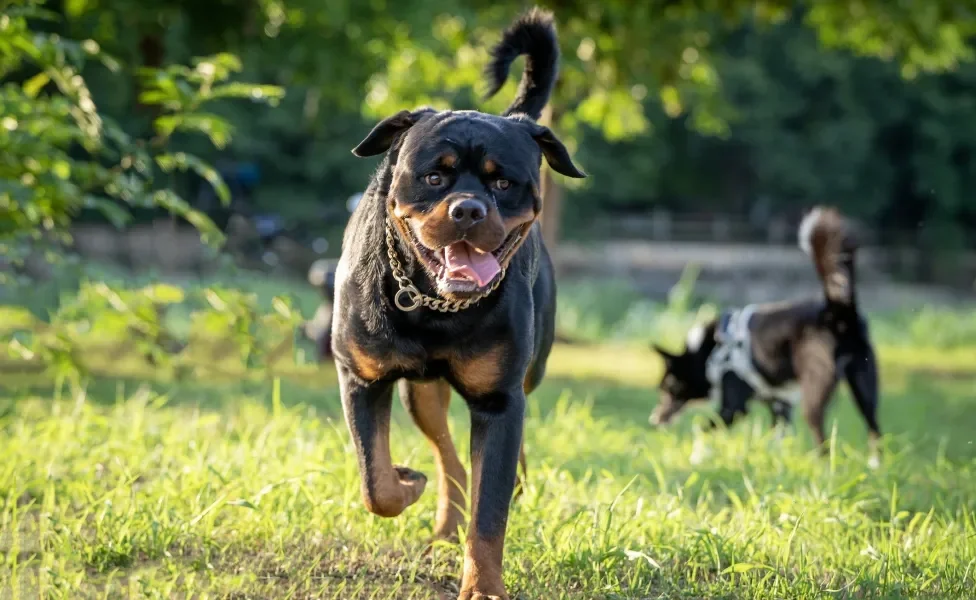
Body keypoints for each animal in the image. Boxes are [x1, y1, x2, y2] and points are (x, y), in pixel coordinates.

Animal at [332, 9, 584, 600]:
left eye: (503, 182)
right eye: (433, 176)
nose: (468, 209)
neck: (433, 306)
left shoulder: (498, 399)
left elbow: (490, 515)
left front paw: (484, 585)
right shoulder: (360, 377)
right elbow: (375, 481)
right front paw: (405, 482)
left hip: (524, 374)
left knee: (487, 462)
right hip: (421, 394)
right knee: (449, 460)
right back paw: (442, 522)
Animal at [652, 206, 880, 464]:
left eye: (668, 387)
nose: (654, 420)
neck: (710, 351)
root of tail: (836, 311)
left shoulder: (734, 406)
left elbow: (701, 429)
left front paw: (697, 456)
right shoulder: (780, 404)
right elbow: (778, 438)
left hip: (815, 392)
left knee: (821, 437)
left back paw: (822, 465)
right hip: (865, 385)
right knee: (874, 428)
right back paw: (875, 464)